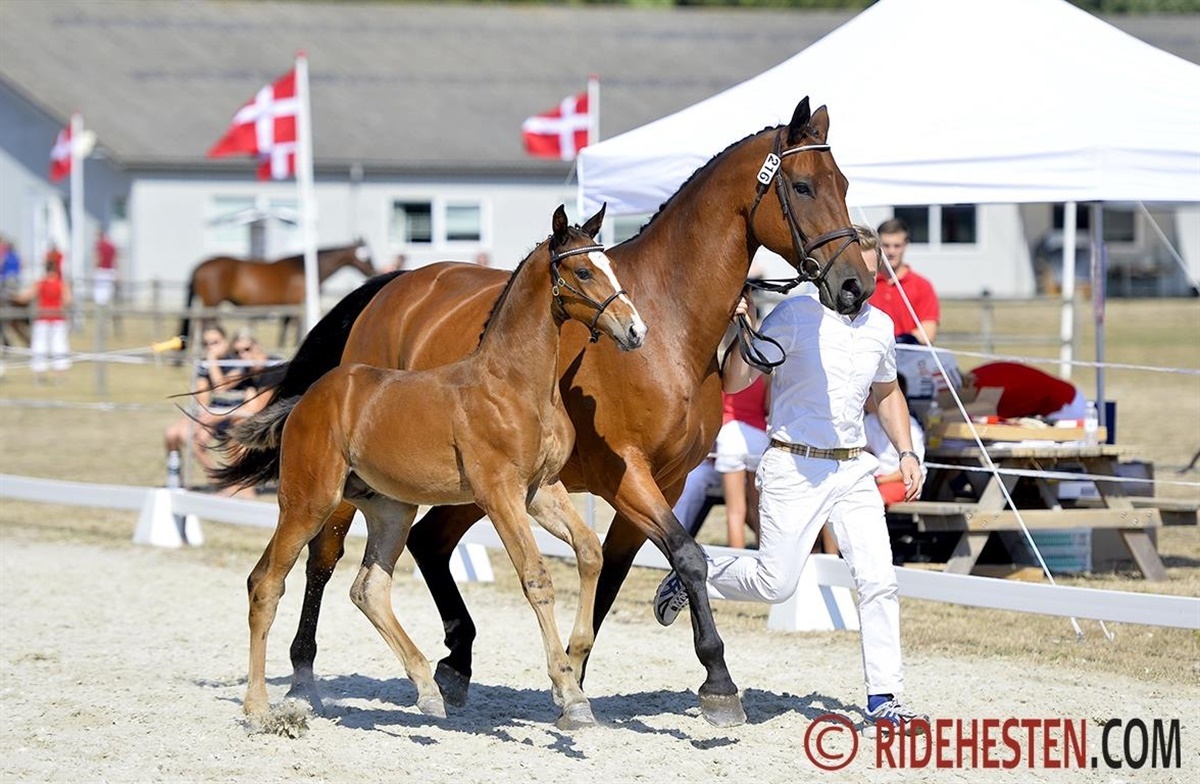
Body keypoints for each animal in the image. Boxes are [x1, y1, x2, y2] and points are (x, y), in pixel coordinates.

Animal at [178, 240, 376, 347]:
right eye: (365, 256)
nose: (373, 270)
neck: (303, 268)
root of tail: (201, 266)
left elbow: (286, 323)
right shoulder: (295, 302)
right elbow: (291, 323)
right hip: (211, 302)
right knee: (204, 323)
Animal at [232, 204, 645, 729]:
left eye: (609, 265)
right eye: (584, 271)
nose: (635, 331)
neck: (514, 384)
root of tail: (307, 398)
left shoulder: (542, 490)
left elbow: (590, 551)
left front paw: (575, 668)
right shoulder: (499, 494)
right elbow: (536, 578)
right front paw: (569, 694)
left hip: (391, 510)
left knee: (368, 590)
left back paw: (428, 690)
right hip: (309, 502)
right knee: (265, 583)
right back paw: (258, 707)